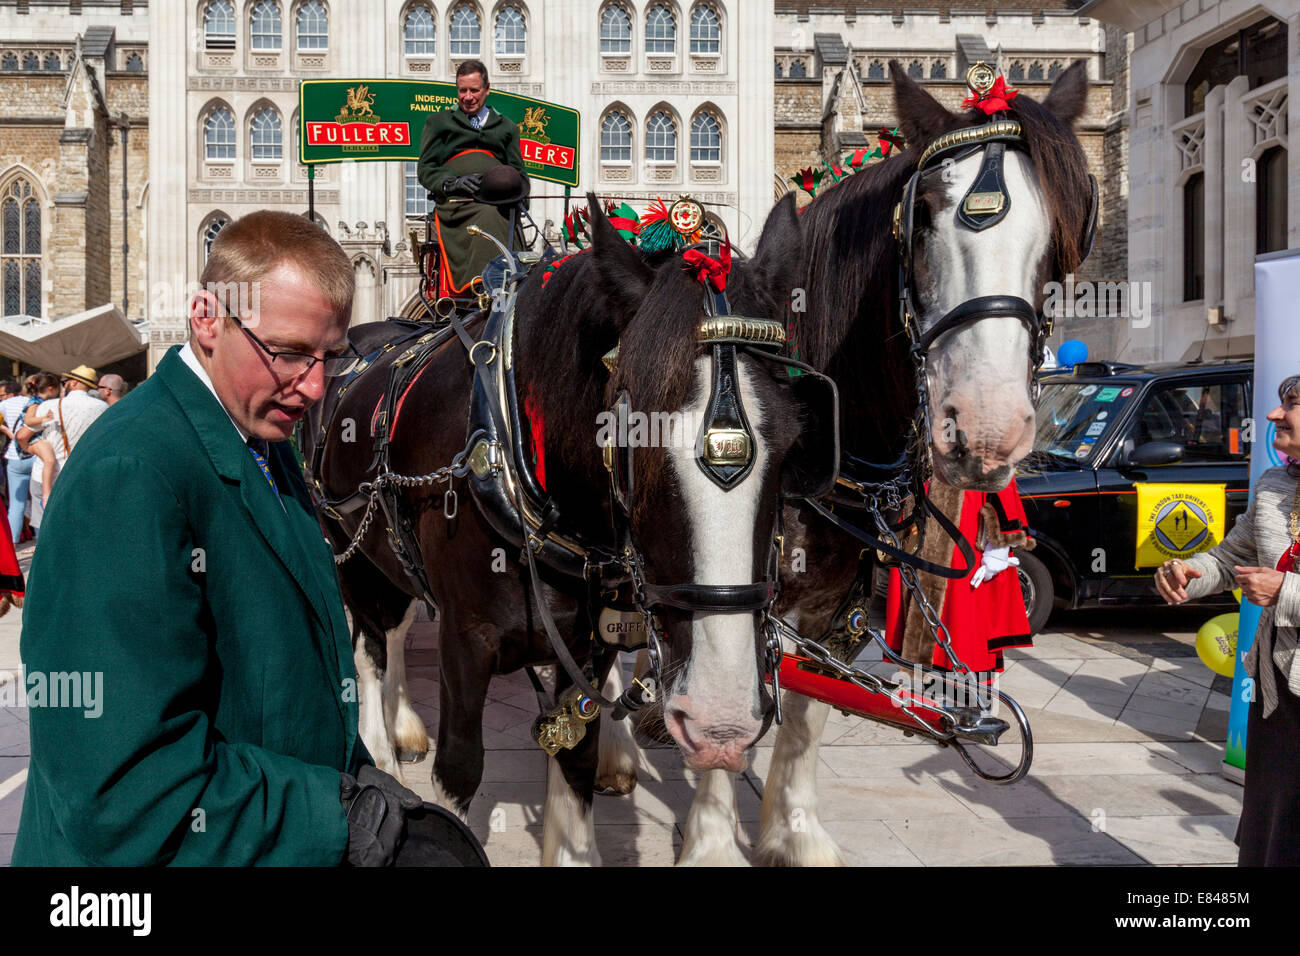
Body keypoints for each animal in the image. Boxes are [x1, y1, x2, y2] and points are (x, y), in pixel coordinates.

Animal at [301, 195, 821, 868]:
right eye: (629, 436)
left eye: (794, 441)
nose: (722, 720)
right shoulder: (466, 639)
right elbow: (460, 765)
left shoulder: (589, 643)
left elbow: (574, 761)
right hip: (352, 552)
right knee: (371, 645)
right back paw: (383, 752)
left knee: (397, 626)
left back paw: (403, 725)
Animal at [650, 61, 1097, 868]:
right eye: (921, 218)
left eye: (1063, 230)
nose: (986, 426)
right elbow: (723, 711)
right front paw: (710, 841)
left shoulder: (835, 606)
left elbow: (803, 713)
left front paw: (794, 832)